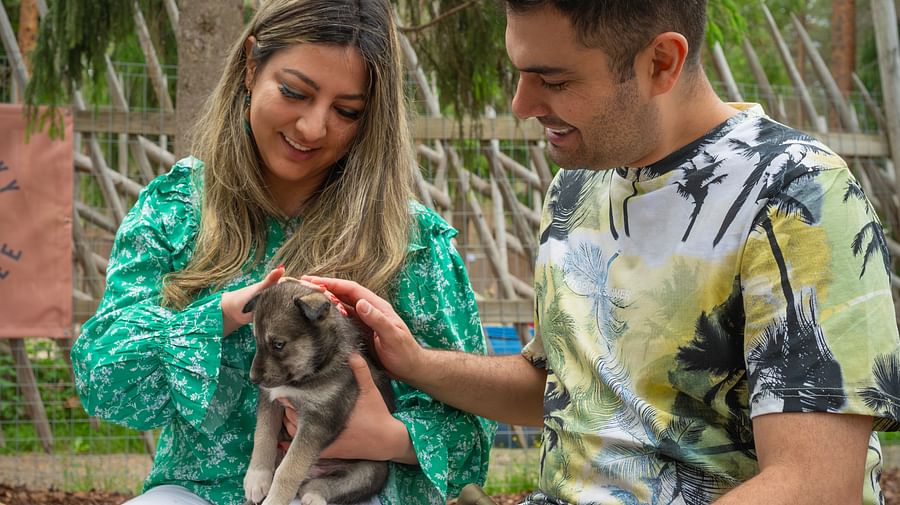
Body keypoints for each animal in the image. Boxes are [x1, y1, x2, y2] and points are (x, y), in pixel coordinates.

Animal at [243, 280, 394, 504]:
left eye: (278, 344)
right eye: (256, 340)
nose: (253, 379)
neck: (307, 377)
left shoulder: (318, 420)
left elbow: (289, 469)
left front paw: (275, 499)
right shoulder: (271, 399)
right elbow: (263, 436)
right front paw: (256, 477)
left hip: (372, 469)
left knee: (322, 486)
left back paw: (313, 496)